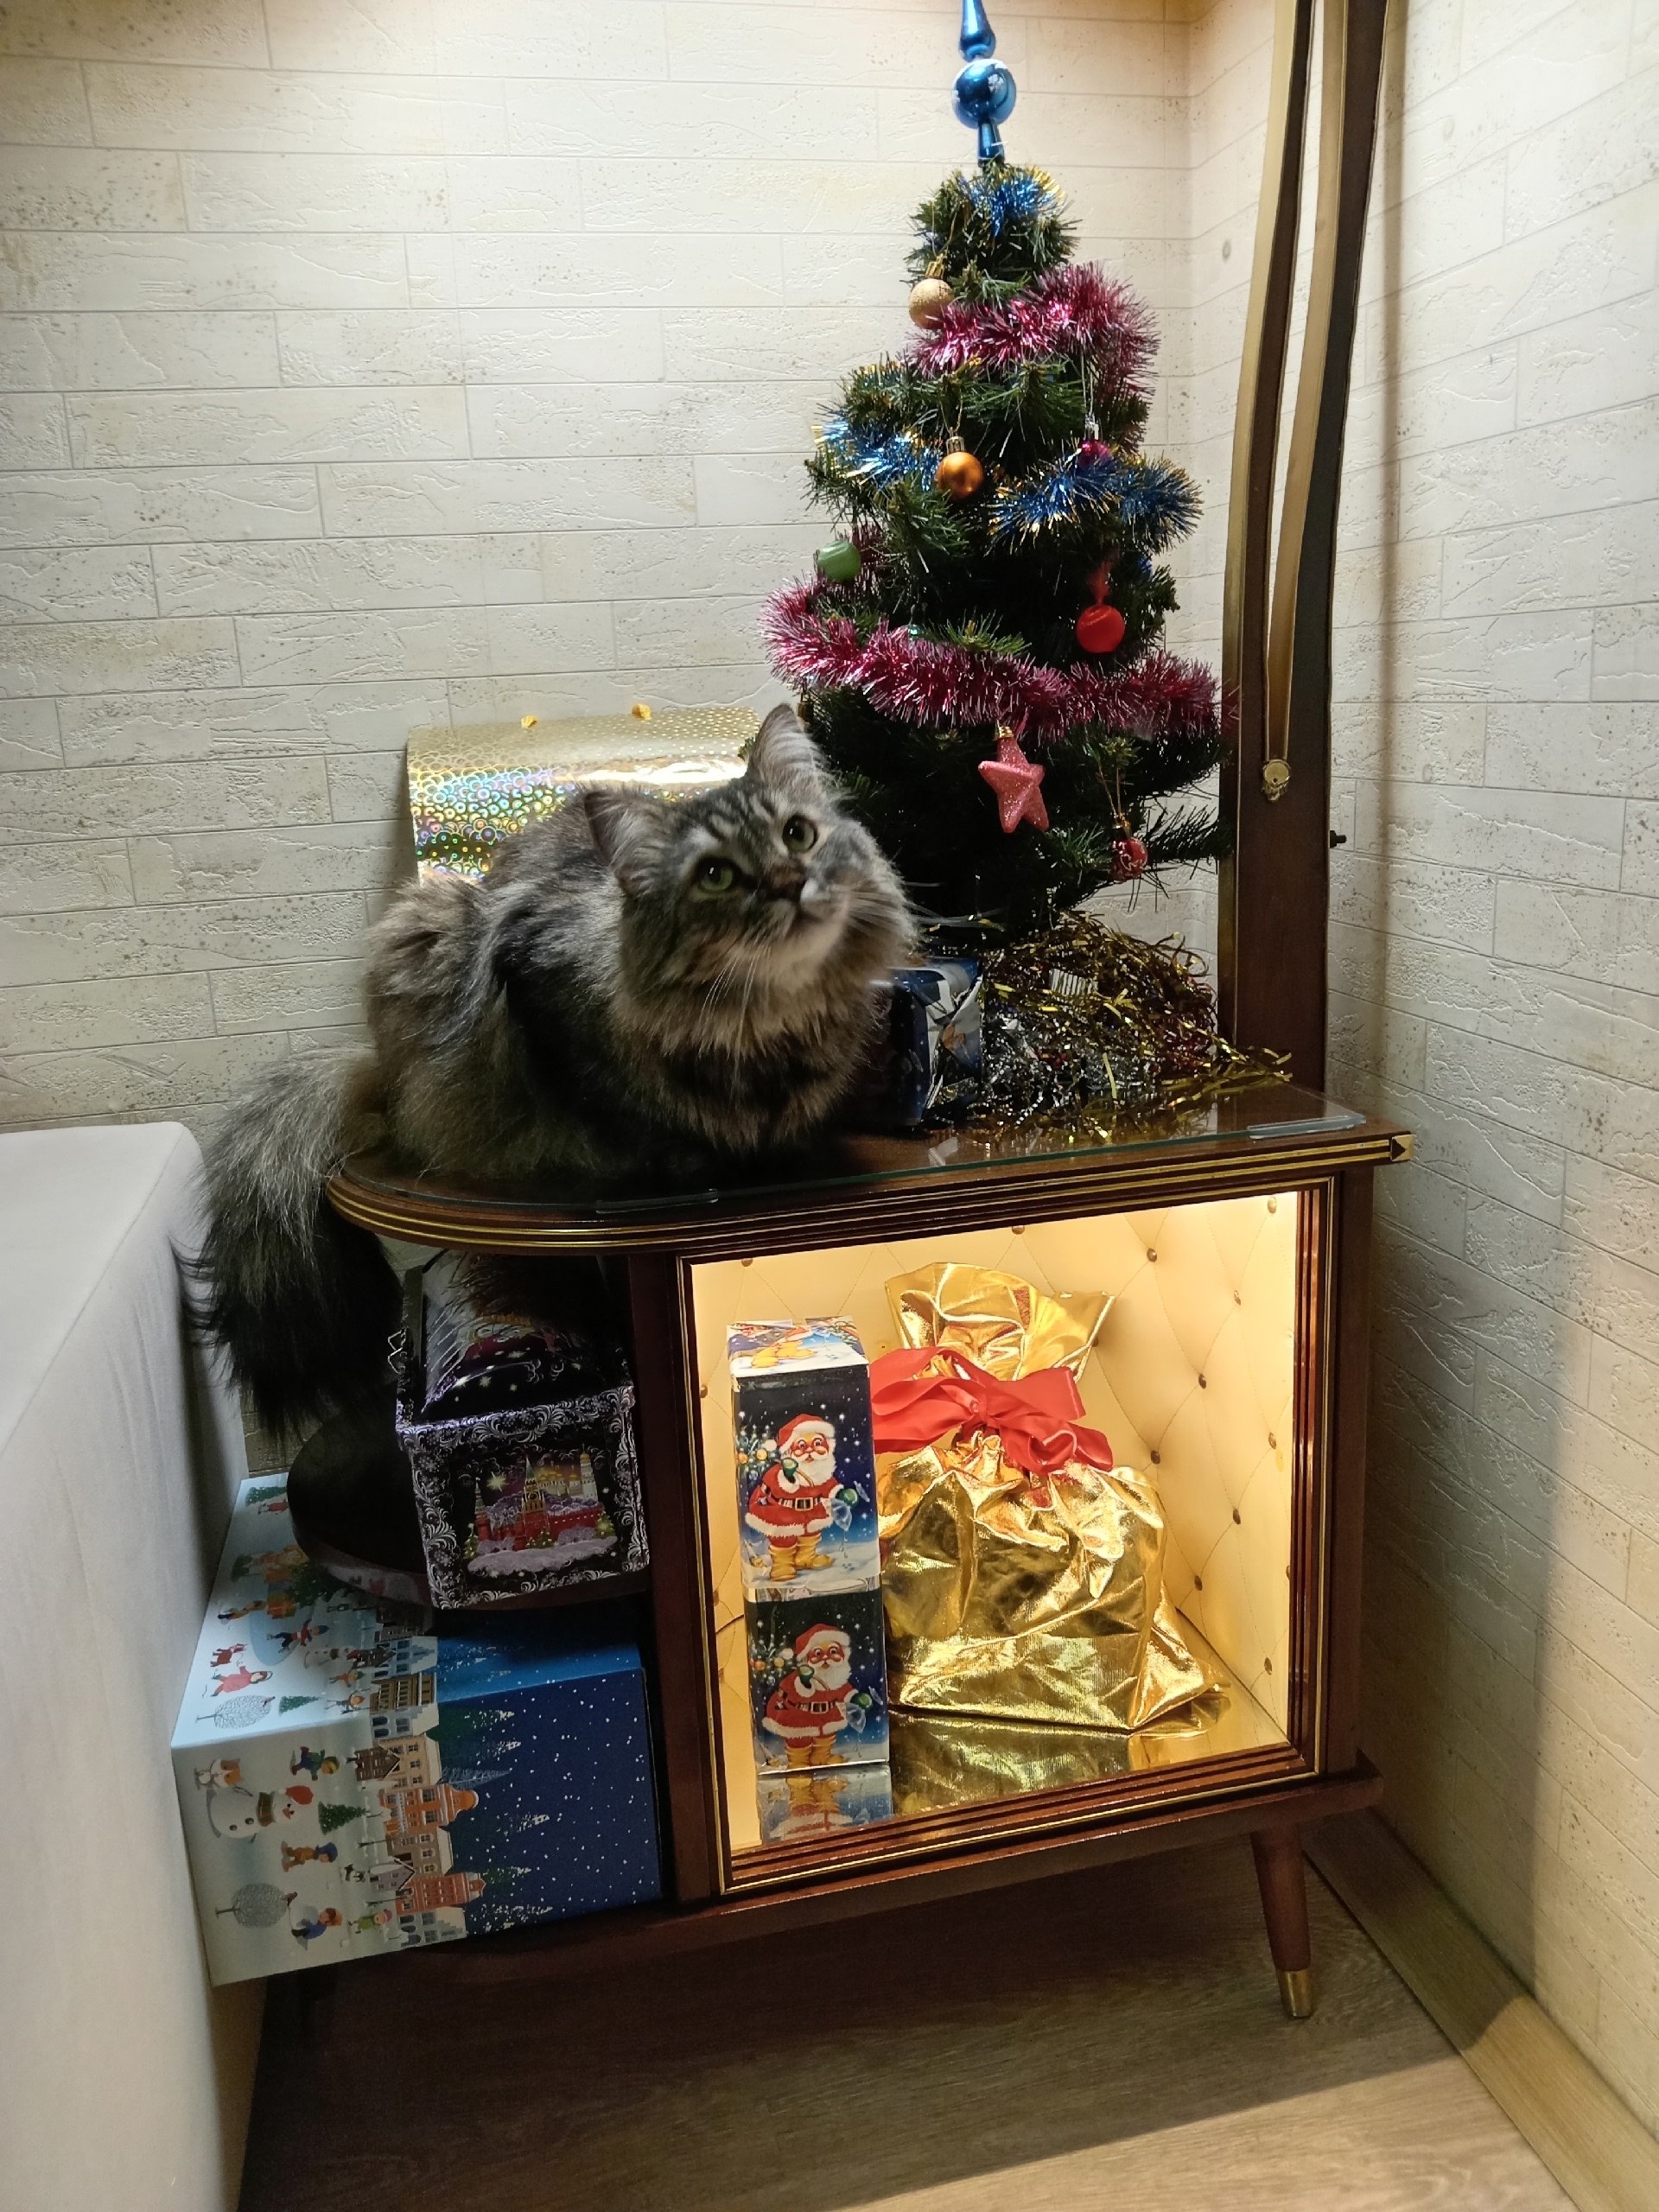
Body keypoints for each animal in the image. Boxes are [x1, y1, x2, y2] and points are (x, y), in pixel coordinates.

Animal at [199, 705, 912, 1434]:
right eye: (716, 875)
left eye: (798, 835)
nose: (790, 882)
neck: (768, 1023)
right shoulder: (538, 995)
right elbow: (628, 1115)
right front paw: (690, 1157)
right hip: (425, 925)